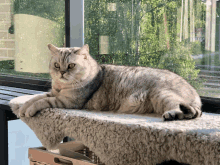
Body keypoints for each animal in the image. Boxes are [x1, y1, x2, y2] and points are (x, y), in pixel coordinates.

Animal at [18, 43, 202, 121]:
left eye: (71, 66)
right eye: (56, 65)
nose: (62, 72)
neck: (61, 87)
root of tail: (195, 94)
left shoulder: (67, 101)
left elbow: (42, 101)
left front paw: (29, 110)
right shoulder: (53, 93)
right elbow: (36, 97)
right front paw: (23, 107)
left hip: (162, 95)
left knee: (184, 110)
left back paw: (172, 115)